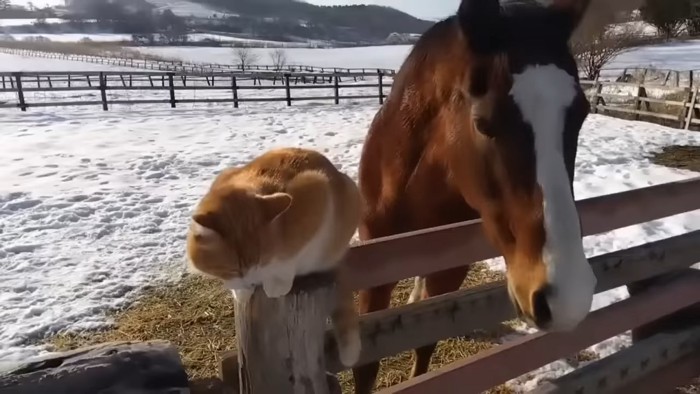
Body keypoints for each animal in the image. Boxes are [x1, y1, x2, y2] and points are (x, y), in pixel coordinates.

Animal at [185, 146, 360, 368]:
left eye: (261, 261)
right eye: (235, 269)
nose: (251, 283)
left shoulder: (316, 191)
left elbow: (289, 258)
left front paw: (275, 283)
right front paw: (241, 290)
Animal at [356, 0, 600, 390]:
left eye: (581, 114)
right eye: (484, 123)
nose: (568, 298)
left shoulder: (451, 268)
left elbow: (426, 340)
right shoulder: (373, 273)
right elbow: (366, 366)